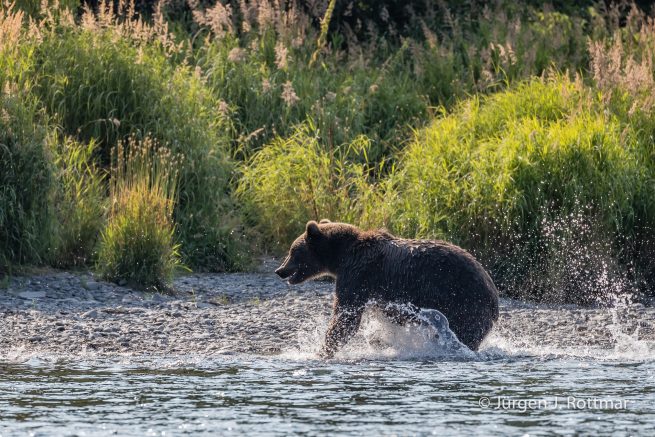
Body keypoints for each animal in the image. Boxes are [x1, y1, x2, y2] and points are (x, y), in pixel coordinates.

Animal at [275, 220, 500, 358]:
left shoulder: (358, 276)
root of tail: (494, 296)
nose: (280, 270)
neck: (340, 257)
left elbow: (346, 317)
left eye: (293, 251)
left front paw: (321, 351)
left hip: (464, 299)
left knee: (465, 330)